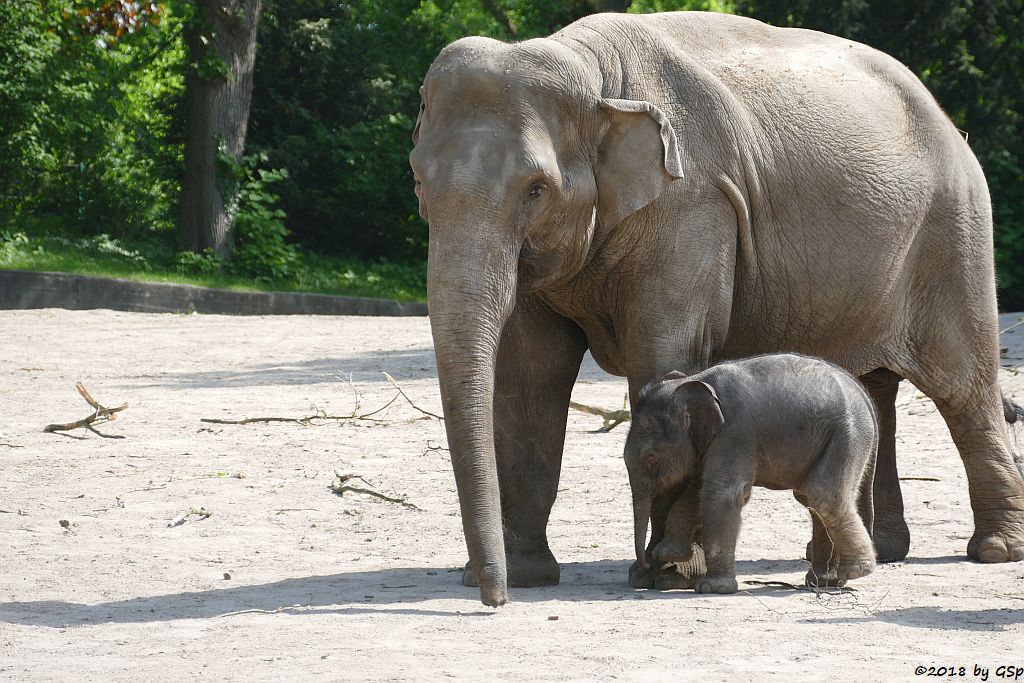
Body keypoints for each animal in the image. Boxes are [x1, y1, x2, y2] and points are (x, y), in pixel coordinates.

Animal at [622, 352, 880, 593]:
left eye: (651, 456)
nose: (644, 565)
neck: (694, 380)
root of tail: (863, 393)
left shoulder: (735, 432)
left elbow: (721, 492)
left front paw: (714, 588)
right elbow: (698, 489)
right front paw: (668, 553)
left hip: (847, 435)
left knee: (824, 496)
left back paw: (855, 571)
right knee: (813, 501)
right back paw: (823, 582)